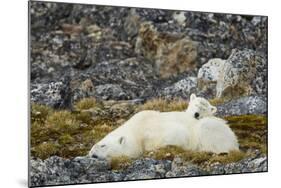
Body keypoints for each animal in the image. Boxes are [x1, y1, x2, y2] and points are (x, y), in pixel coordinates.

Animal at [88, 94, 237, 160]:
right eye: (94, 144)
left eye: (103, 145)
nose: (91, 153)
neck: (137, 130)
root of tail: (235, 140)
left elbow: (177, 135)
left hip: (211, 129)